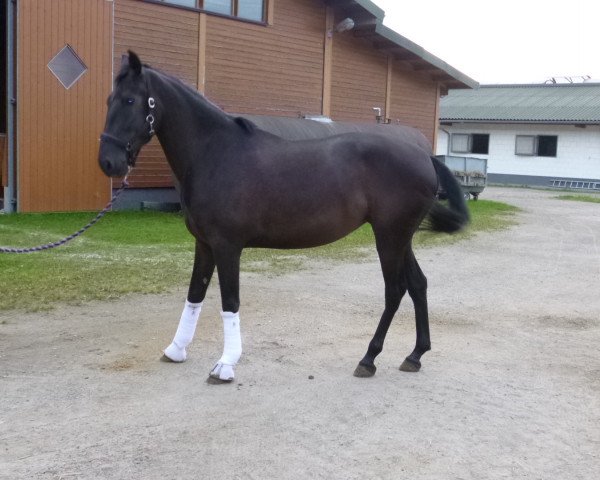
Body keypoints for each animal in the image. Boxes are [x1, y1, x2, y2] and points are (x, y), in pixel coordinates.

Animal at [97, 51, 468, 382]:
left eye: (130, 100)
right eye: (109, 98)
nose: (108, 162)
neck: (215, 153)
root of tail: (423, 156)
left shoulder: (227, 246)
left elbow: (229, 301)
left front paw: (225, 365)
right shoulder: (204, 244)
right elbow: (194, 295)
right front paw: (176, 349)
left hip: (389, 237)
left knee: (395, 290)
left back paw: (368, 359)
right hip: (401, 238)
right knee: (418, 284)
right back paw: (415, 355)